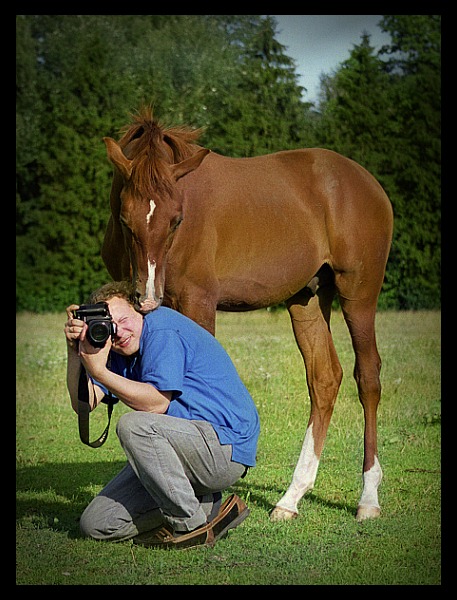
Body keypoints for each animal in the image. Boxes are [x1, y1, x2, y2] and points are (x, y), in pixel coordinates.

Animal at [102, 106, 392, 520]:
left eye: (177, 220)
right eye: (126, 220)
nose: (148, 296)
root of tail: (368, 184)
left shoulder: (197, 302)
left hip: (359, 296)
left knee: (367, 377)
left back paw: (368, 497)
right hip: (307, 299)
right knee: (324, 379)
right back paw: (291, 498)